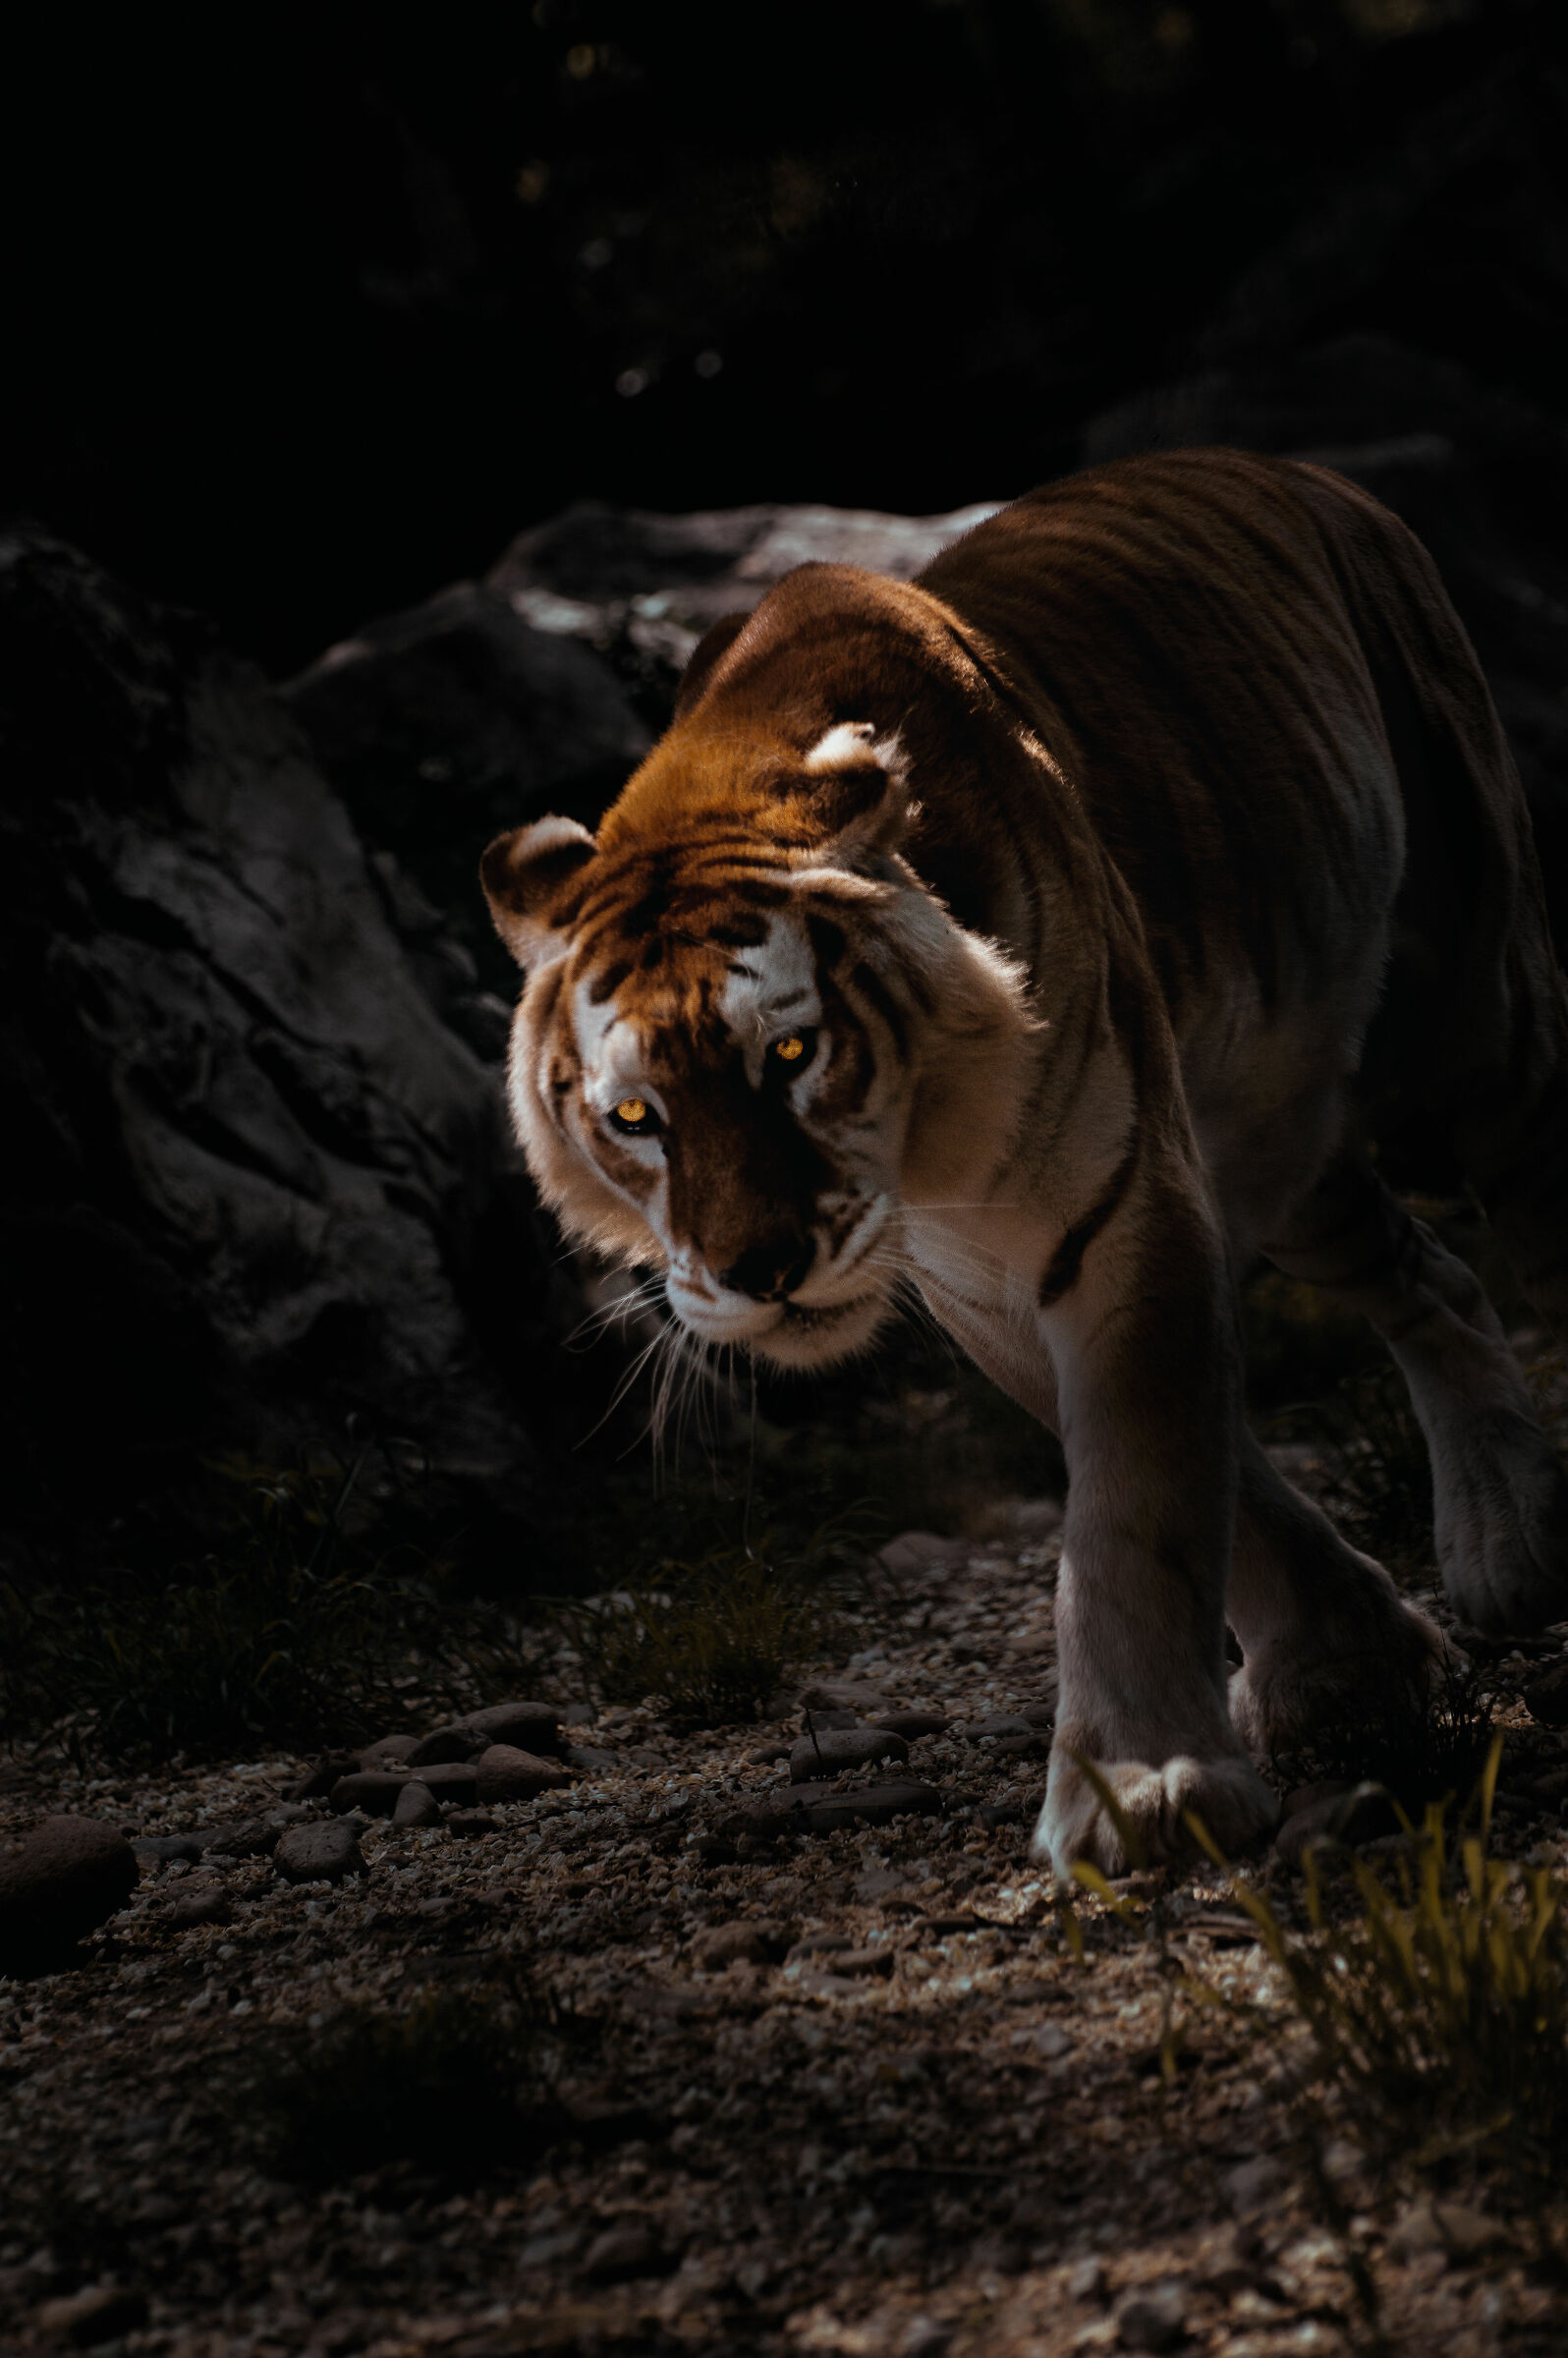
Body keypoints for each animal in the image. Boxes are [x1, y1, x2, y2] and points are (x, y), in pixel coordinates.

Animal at [482, 448, 1568, 1876]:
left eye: (790, 1055)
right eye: (635, 1119)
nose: (761, 1269)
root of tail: (1309, 471)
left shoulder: (1112, 1210)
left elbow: (1134, 1508)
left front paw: (1142, 1787)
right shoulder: (995, 1280)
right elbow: (1211, 1478)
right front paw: (1343, 1670)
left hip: (1472, 1041)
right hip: (1287, 1155)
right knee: (1433, 1275)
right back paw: (1509, 1543)